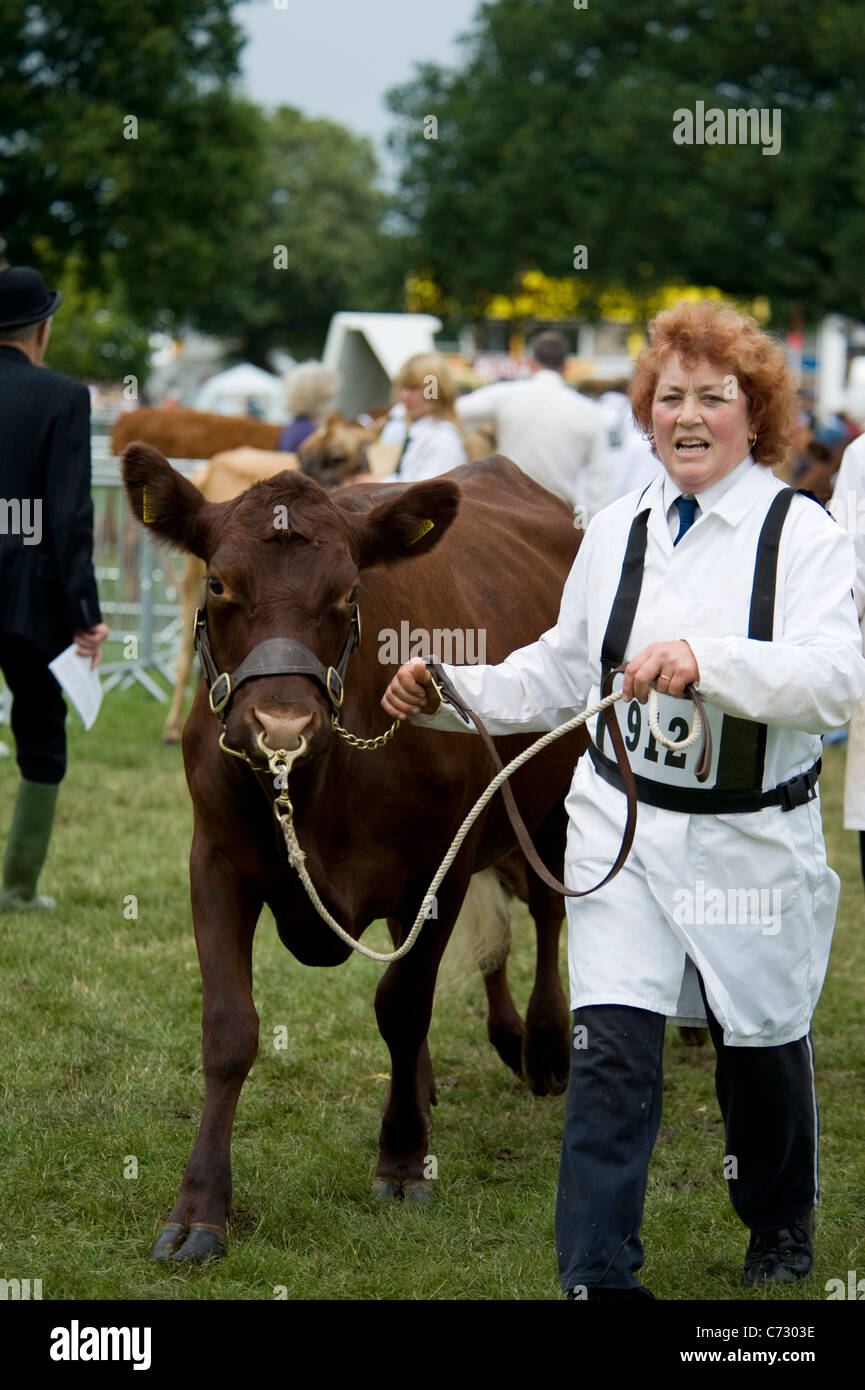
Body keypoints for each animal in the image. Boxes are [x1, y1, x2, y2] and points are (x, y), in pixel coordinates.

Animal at [122, 444, 586, 1262]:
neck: (313, 788)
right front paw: (198, 1207)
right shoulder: (214, 861)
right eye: (218, 582)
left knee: (545, 911)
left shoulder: (441, 867)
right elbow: (228, 1029)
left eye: (348, 591)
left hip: (551, 798)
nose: (280, 725)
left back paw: (543, 1042)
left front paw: (401, 1161)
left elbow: (400, 1005)